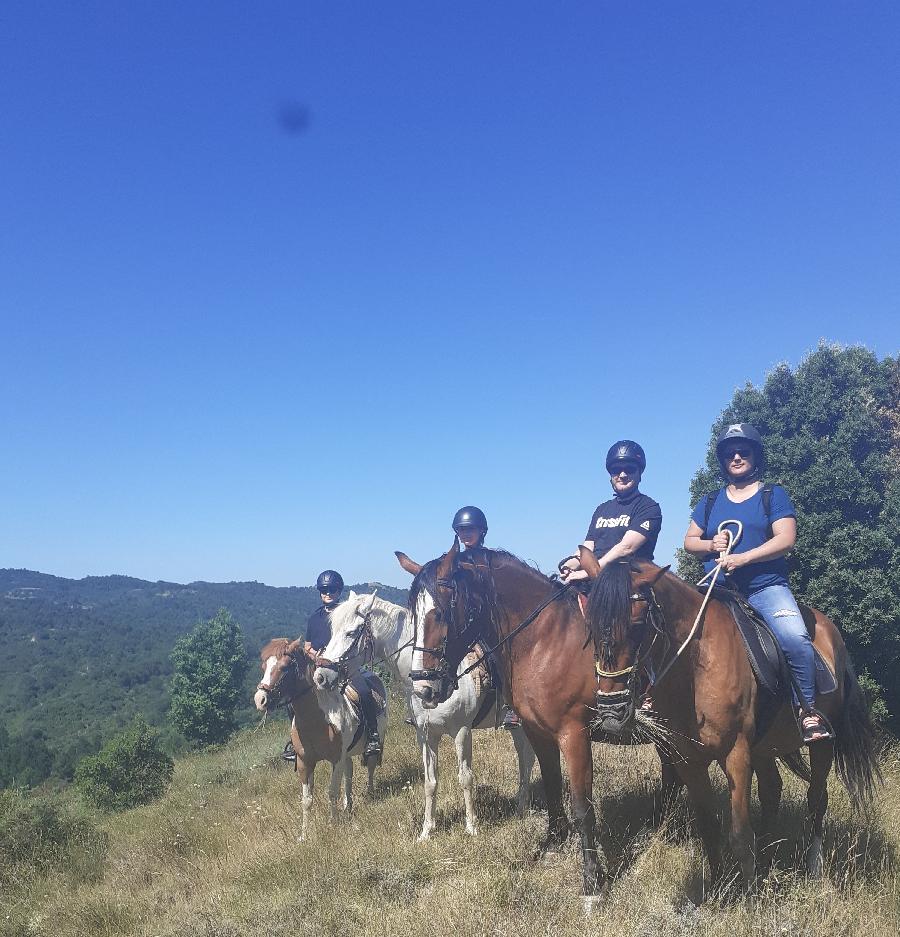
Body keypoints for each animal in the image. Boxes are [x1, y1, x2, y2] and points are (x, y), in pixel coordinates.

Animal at [253, 636, 386, 840]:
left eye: (285, 667)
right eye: (264, 666)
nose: (260, 699)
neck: (317, 720)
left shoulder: (336, 759)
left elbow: (332, 792)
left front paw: (333, 824)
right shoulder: (304, 762)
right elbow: (307, 799)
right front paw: (304, 835)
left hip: (377, 740)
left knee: (370, 766)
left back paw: (369, 793)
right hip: (346, 754)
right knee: (349, 773)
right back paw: (348, 806)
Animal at [312, 580, 536, 836]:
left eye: (351, 632)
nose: (320, 676)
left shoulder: (462, 732)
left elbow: (465, 777)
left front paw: (471, 827)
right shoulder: (426, 734)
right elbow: (430, 782)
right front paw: (427, 830)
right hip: (517, 726)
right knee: (525, 758)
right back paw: (521, 806)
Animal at [576, 552, 880, 888]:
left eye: (638, 624)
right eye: (589, 624)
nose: (611, 711)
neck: (697, 666)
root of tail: (831, 632)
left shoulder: (736, 754)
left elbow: (740, 834)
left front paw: (749, 896)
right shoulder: (688, 760)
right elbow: (709, 826)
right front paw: (718, 888)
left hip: (822, 743)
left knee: (816, 798)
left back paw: (813, 865)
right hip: (763, 747)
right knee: (772, 790)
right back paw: (766, 858)